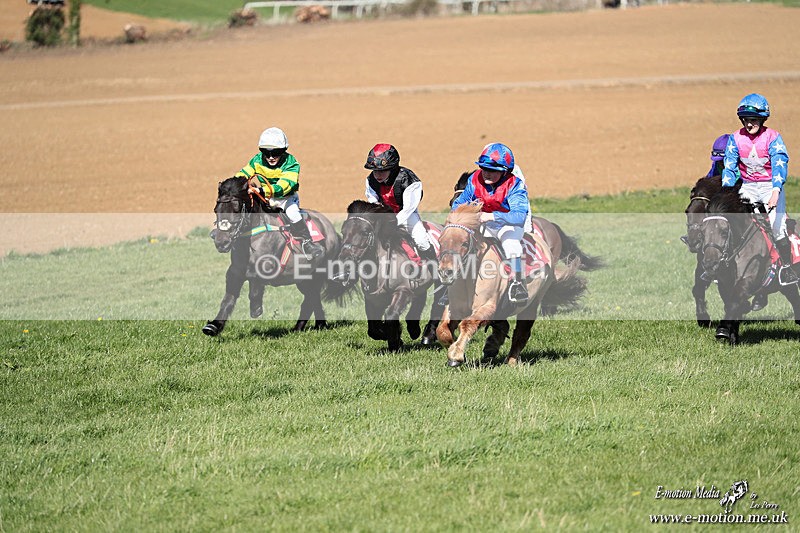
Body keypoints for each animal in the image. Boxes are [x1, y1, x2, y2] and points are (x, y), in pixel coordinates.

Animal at [203, 176, 340, 337]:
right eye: (216, 209)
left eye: (236, 209)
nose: (221, 241)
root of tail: (333, 231)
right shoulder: (235, 272)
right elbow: (228, 299)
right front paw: (213, 326)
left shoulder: (265, 267)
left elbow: (254, 283)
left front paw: (256, 308)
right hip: (304, 279)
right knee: (312, 298)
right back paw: (314, 326)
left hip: (317, 274)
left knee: (310, 300)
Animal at [324, 200, 445, 351]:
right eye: (343, 231)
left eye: (364, 232)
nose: (344, 260)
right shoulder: (373, 299)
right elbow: (373, 329)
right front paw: (395, 336)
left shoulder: (402, 290)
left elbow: (391, 315)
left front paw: (395, 343)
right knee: (420, 299)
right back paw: (414, 329)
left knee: (438, 302)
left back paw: (428, 335)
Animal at [435, 203, 589, 367]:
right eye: (440, 241)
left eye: (464, 243)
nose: (445, 272)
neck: (470, 277)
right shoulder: (454, 307)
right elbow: (442, 330)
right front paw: (456, 350)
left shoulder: (487, 307)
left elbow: (467, 324)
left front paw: (456, 355)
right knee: (504, 325)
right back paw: (492, 345)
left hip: (531, 304)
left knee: (521, 333)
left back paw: (511, 360)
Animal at [700, 187, 800, 344]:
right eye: (702, 232)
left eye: (724, 232)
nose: (710, 264)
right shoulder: (724, 284)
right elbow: (731, 304)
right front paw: (733, 337)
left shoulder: (747, 280)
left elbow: (733, 303)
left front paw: (723, 330)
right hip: (784, 285)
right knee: (794, 296)